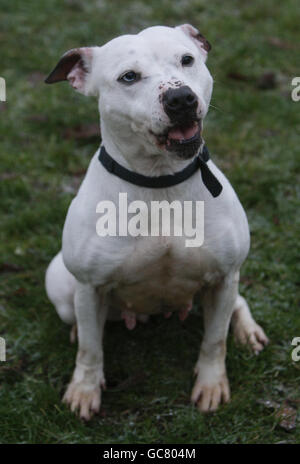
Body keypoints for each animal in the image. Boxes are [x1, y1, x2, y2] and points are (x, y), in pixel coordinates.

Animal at [44, 24, 268, 420]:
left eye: (187, 59)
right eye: (129, 77)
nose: (181, 98)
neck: (160, 181)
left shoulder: (224, 276)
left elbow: (214, 340)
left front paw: (211, 384)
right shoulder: (89, 286)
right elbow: (90, 349)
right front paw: (84, 390)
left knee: (236, 304)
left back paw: (246, 330)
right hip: (60, 284)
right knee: (82, 326)